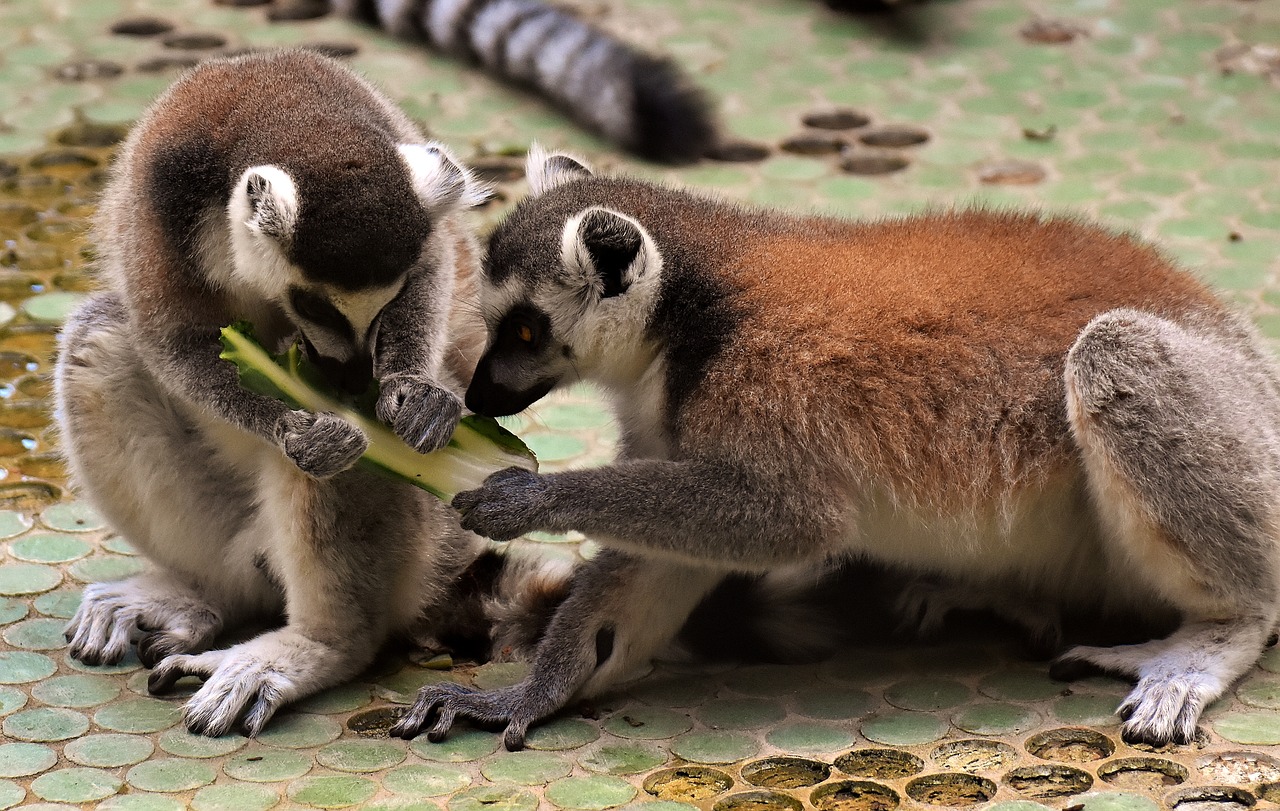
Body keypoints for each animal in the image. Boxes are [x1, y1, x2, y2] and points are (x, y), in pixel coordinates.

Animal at [53, 48, 511, 737]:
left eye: (387, 305)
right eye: (314, 305)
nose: (353, 378)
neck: (286, 112)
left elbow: (436, 267)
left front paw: (415, 392)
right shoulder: (160, 206)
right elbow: (169, 338)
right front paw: (293, 428)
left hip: (431, 539)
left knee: (350, 472)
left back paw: (321, 643)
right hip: (230, 538)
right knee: (100, 338)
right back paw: (200, 592)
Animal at [389, 147, 1280, 750]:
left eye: (525, 330)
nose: (480, 397)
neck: (689, 315)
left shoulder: (766, 380)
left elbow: (789, 520)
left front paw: (530, 496)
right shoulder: (670, 415)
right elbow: (660, 556)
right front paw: (530, 694)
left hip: (1244, 443)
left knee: (1115, 352)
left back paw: (1216, 634)